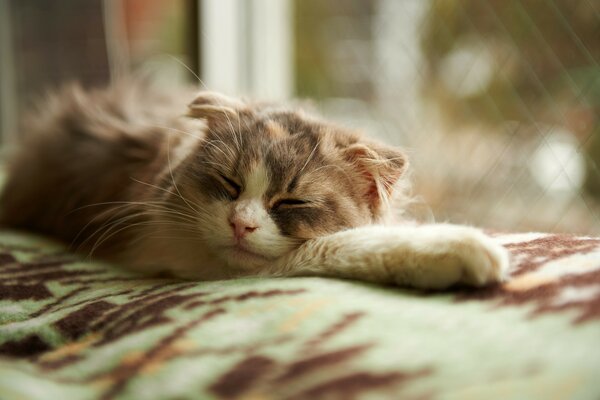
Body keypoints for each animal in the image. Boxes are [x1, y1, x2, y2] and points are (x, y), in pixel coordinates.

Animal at [0, 80, 510, 288]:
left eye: (292, 201)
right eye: (229, 184)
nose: (240, 225)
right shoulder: (176, 254)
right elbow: (340, 245)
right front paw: (462, 250)